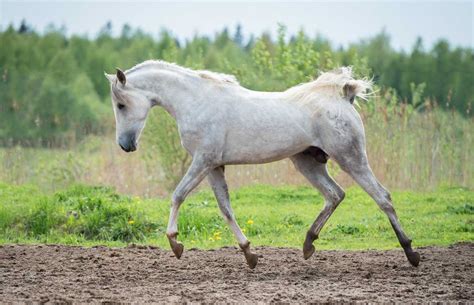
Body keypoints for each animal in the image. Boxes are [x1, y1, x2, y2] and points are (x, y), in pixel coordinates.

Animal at [105, 60, 420, 268]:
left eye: (121, 104)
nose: (125, 145)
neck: (196, 101)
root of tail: (344, 95)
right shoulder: (214, 167)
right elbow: (226, 209)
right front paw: (250, 254)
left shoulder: (203, 161)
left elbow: (178, 195)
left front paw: (175, 244)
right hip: (308, 162)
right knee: (335, 195)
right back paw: (308, 244)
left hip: (351, 158)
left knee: (382, 197)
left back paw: (411, 254)